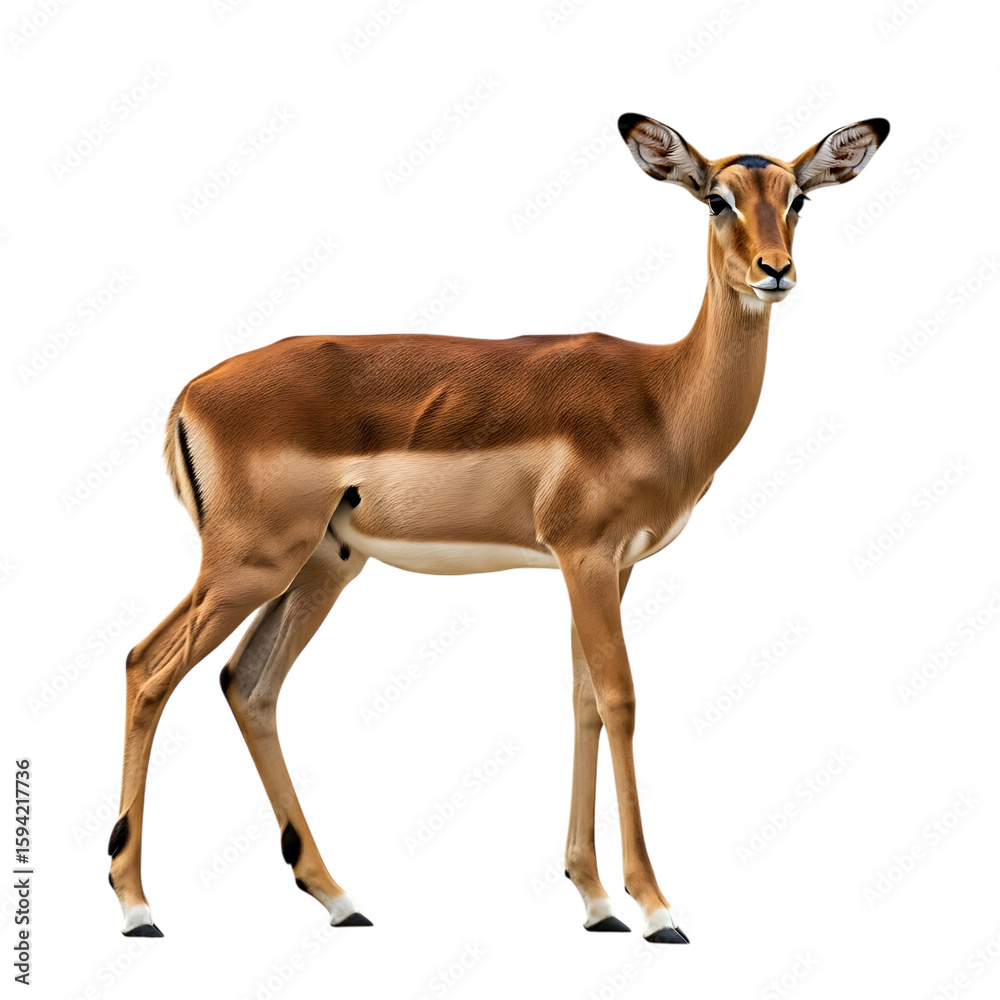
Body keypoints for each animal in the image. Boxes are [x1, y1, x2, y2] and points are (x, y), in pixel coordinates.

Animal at [108, 113, 889, 942]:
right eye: (716, 198)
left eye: (798, 197)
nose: (775, 271)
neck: (663, 395)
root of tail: (191, 393)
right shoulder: (586, 556)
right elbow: (620, 697)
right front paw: (655, 908)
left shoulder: (609, 567)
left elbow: (583, 699)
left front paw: (596, 900)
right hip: (248, 564)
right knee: (148, 666)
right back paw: (137, 906)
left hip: (321, 565)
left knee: (248, 683)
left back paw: (339, 897)